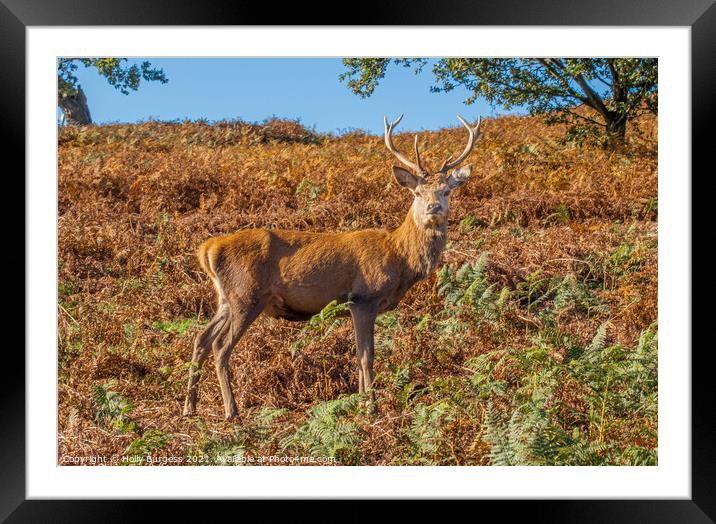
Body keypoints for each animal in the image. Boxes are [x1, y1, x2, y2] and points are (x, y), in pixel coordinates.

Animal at [183, 112, 482, 420]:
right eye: (418, 193)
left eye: (446, 191)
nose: (433, 208)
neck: (398, 258)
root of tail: (209, 249)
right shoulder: (363, 297)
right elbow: (367, 355)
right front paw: (370, 407)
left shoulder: (356, 306)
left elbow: (359, 353)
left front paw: (360, 403)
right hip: (247, 295)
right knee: (220, 346)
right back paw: (232, 411)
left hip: (226, 299)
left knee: (200, 339)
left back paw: (189, 407)